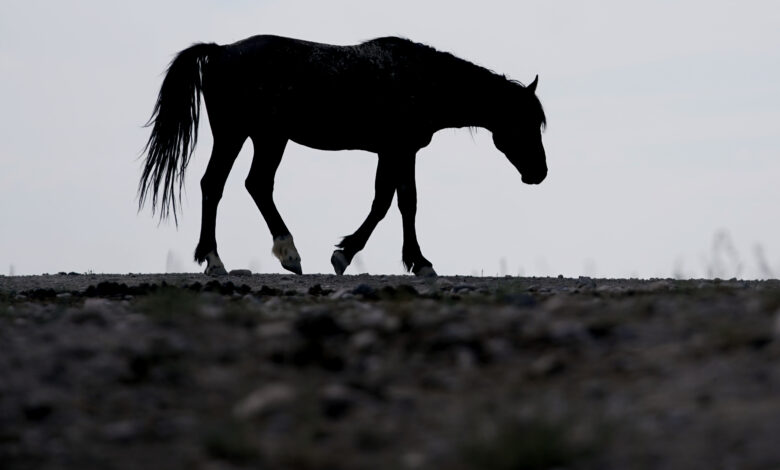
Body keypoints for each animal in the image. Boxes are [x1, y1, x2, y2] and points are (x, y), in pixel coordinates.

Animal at [137, 35, 544, 278]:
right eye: (525, 122)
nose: (539, 173)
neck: (419, 80)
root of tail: (219, 50)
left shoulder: (397, 152)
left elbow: (396, 202)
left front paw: (395, 258)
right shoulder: (398, 150)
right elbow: (393, 204)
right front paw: (361, 256)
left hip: (261, 138)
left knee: (244, 185)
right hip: (244, 136)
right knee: (225, 185)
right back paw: (235, 257)